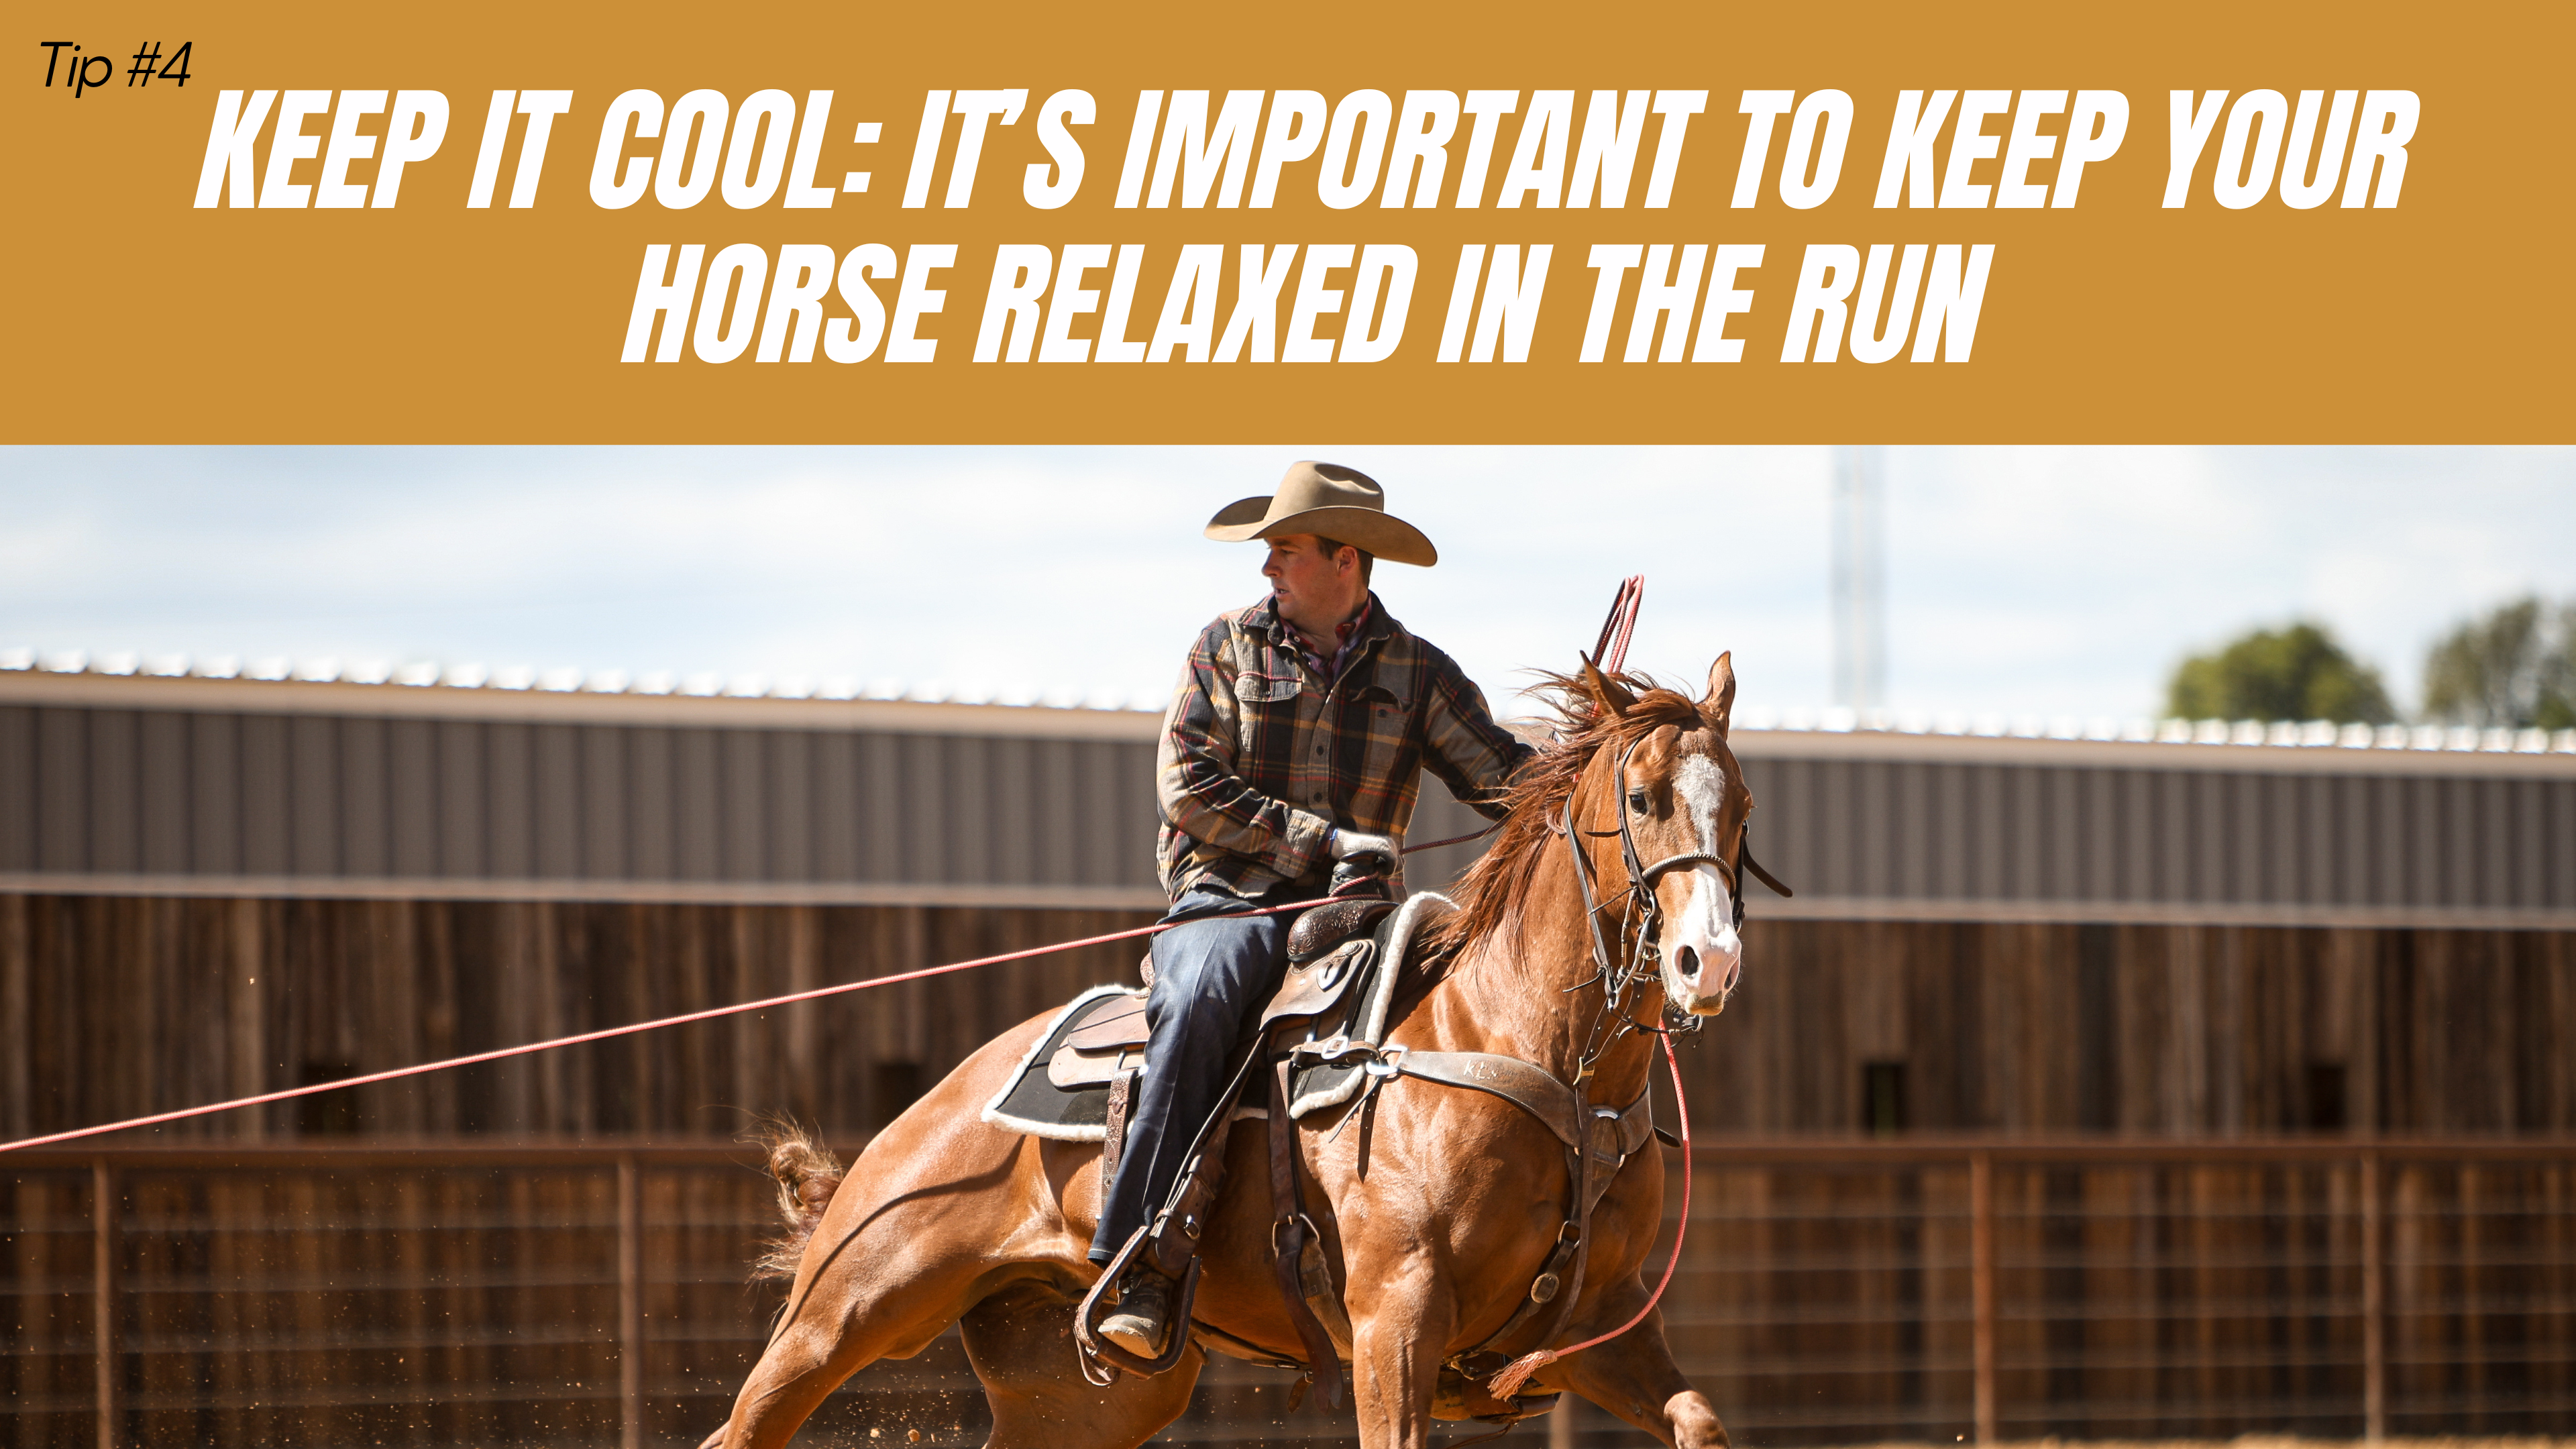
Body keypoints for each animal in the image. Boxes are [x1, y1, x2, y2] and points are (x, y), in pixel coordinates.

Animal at [701, 652, 1761, 1449]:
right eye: (1642, 796)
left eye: (1742, 805)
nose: (1707, 961)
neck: (1524, 1049)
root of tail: (932, 1109)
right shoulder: (1397, 1320)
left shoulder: (1601, 1323)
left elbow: (1701, 1420)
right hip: (845, 1311)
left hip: (1081, 1399)